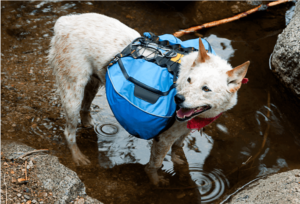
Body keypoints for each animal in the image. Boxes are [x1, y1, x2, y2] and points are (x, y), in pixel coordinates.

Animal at [49, 12, 250, 185]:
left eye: (206, 89)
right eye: (189, 80)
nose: (178, 99)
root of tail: (64, 22)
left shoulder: (183, 131)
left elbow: (178, 148)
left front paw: (179, 161)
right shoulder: (164, 138)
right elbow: (155, 164)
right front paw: (155, 182)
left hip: (94, 82)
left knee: (86, 106)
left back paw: (88, 123)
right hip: (72, 89)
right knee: (69, 132)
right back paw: (78, 157)